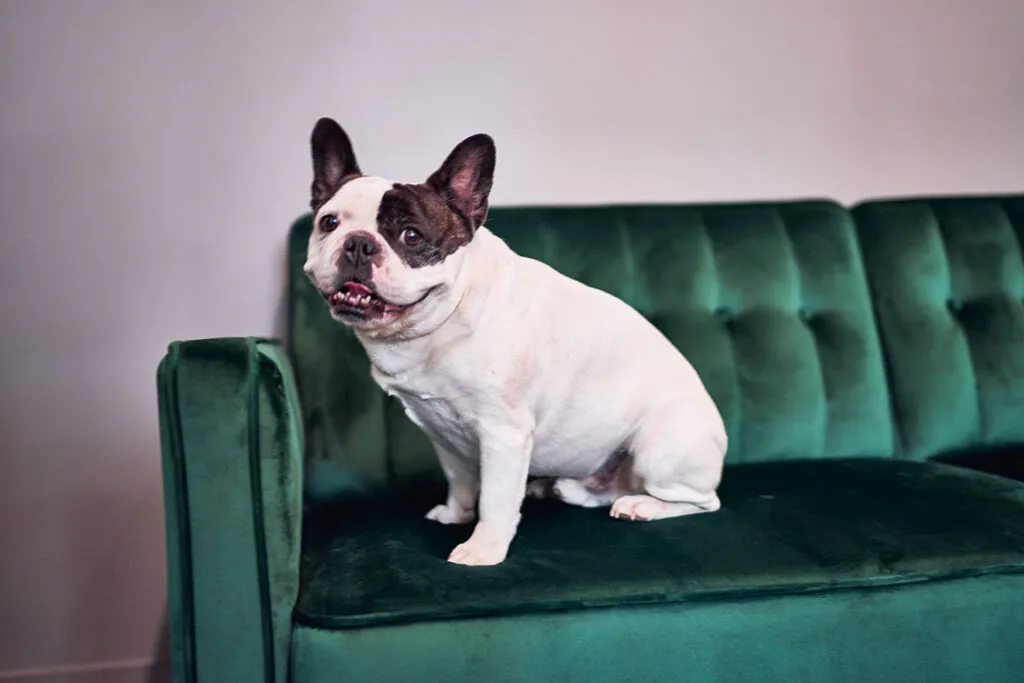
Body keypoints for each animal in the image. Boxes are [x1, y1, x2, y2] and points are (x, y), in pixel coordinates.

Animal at [303, 117, 729, 565]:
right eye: (329, 223)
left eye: (411, 236)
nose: (358, 243)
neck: (443, 320)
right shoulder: (442, 435)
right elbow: (460, 481)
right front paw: (456, 514)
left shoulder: (502, 434)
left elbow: (494, 499)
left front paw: (483, 549)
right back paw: (564, 488)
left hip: (657, 450)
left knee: (702, 502)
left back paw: (642, 506)